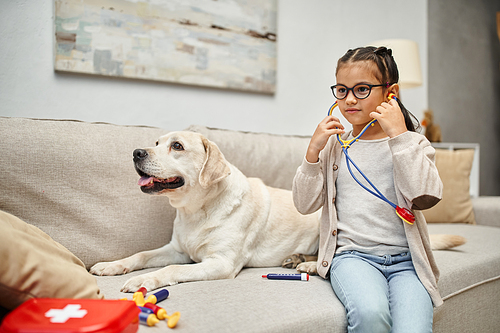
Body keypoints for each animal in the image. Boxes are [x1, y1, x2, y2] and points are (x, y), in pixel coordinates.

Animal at [90, 130, 464, 290]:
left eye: (177, 146)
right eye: (155, 143)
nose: (136, 152)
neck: (198, 210)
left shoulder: (220, 264)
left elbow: (168, 271)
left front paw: (146, 280)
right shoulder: (177, 249)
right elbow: (142, 255)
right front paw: (113, 266)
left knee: (331, 257)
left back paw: (308, 263)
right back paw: (296, 259)